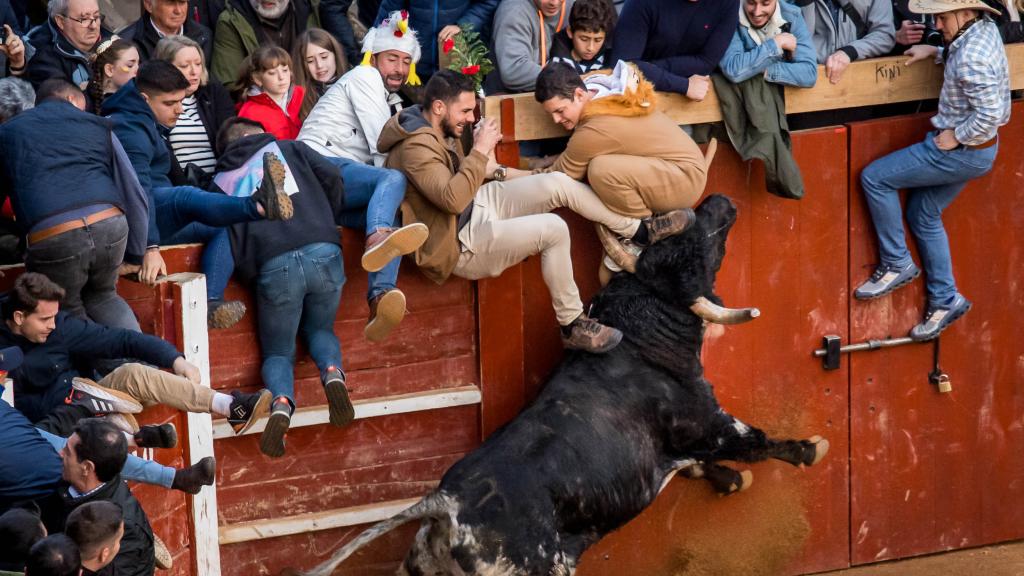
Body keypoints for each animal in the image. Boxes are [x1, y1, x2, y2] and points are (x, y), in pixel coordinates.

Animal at [284, 193, 827, 573]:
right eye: (694, 251)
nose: (719, 201)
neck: (643, 333)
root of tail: (447, 503)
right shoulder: (704, 418)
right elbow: (750, 440)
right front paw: (809, 449)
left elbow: (704, 461)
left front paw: (731, 480)